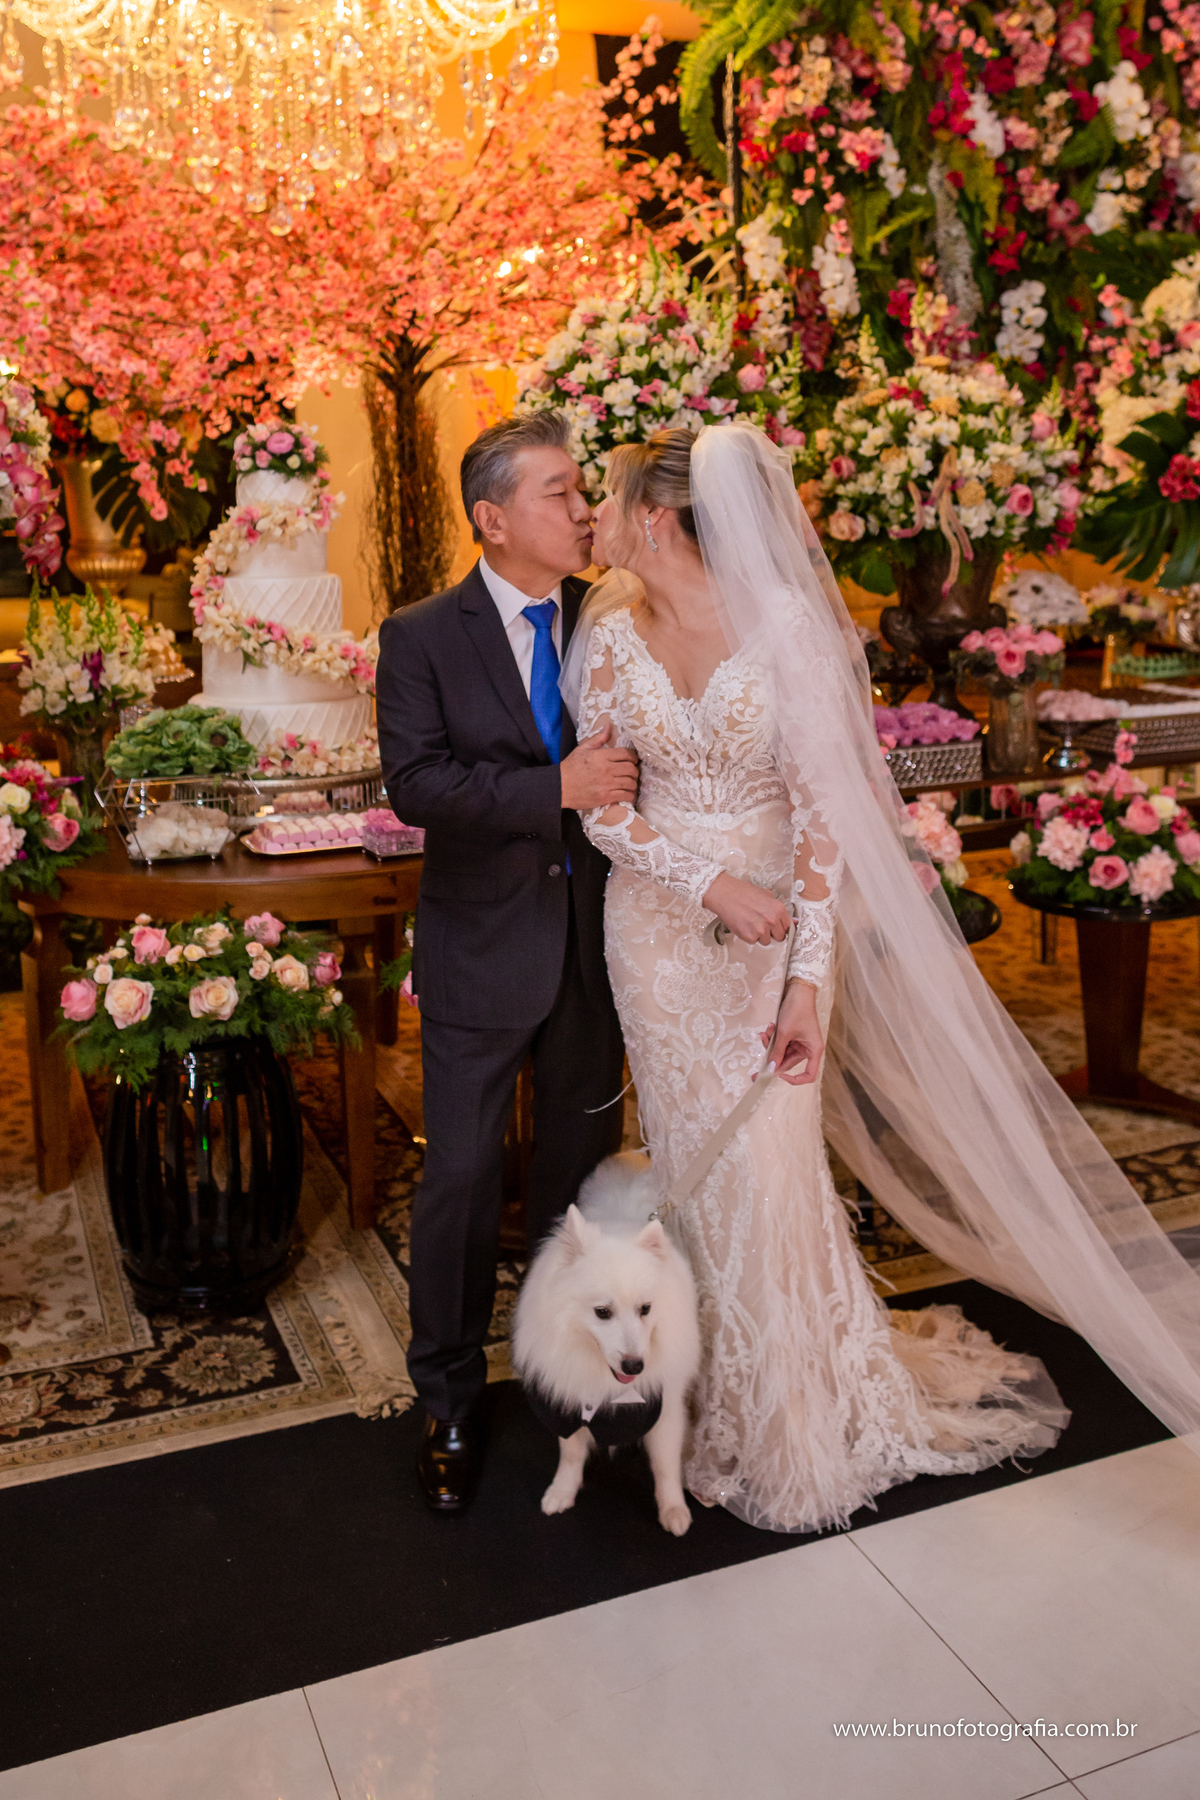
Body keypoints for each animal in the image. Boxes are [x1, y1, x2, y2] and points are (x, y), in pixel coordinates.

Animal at [513, 1151, 701, 1536]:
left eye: (646, 1309)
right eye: (602, 1312)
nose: (634, 1365)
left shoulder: (665, 1405)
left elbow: (665, 1464)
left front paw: (674, 1510)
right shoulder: (571, 1396)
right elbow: (570, 1453)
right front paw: (562, 1492)